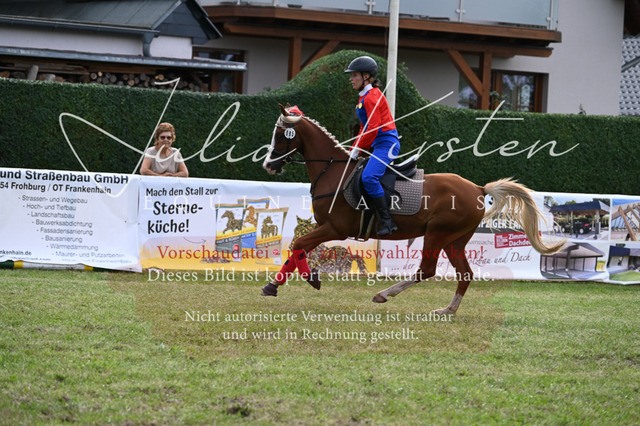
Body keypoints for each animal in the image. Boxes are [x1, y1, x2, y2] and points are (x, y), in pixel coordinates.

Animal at [261, 104, 563, 315]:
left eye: (280, 134)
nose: (268, 165)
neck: (334, 171)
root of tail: (478, 189)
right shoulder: (323, 227)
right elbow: (297, 247)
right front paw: (272, 286)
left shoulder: (334, 228)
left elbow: (300, 244)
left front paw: (311, 279)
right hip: (455, 240)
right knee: (464, 273)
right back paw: (448, 310)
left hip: (437, 234)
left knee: (426, 270)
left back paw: (384, 294)